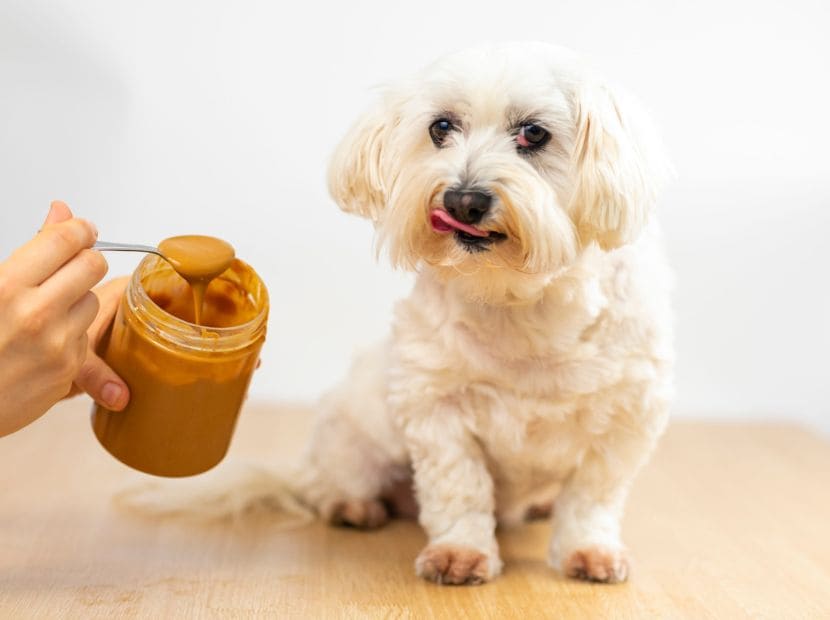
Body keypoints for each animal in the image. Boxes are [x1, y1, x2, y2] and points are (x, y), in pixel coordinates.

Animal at [300, 41, 676, 584]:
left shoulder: (629, 415)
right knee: (322, 478)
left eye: (534, 133)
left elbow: (592, 496)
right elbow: (459, 488)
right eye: (440, 127)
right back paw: (350, 505)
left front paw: (589, 550)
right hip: (355, 435)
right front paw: (460, 552)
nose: (463, 199)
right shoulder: (436, 407)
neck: (518, 297)